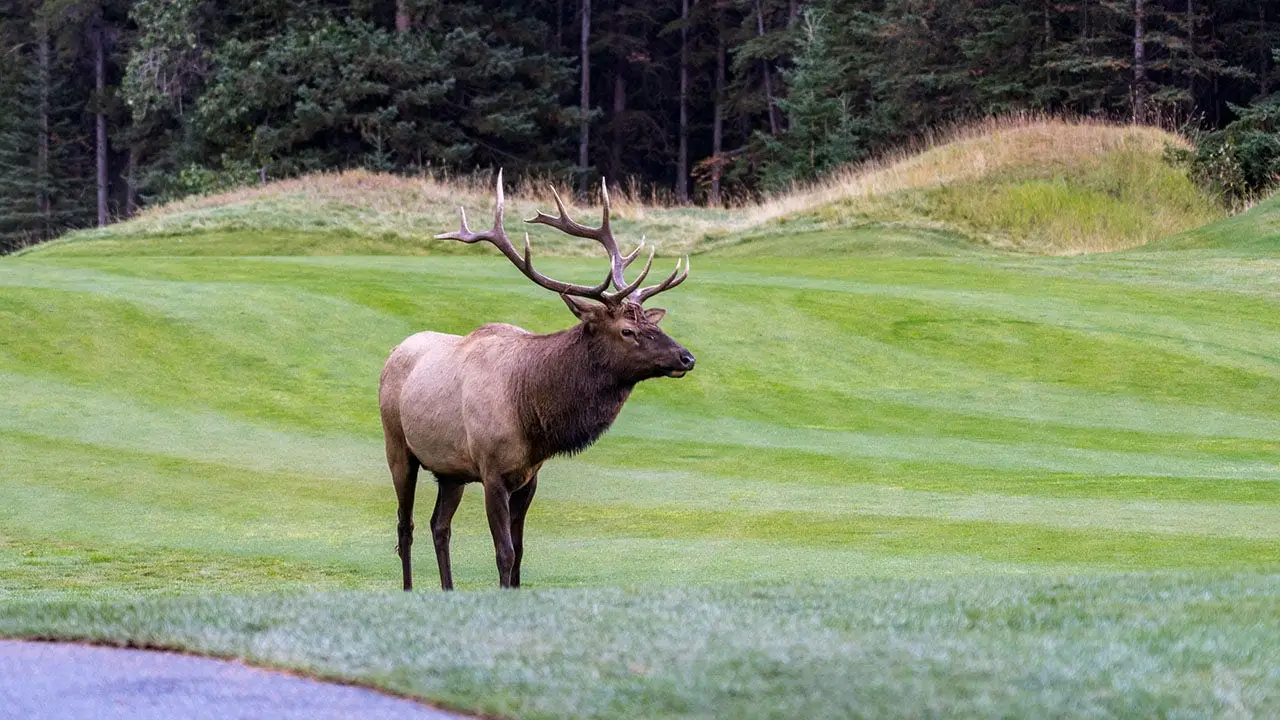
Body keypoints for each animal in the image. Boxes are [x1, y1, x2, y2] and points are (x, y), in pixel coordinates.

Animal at [379, 171, 695, 591]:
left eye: (652, 324)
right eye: (627, 331)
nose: (686, 357)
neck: (531, 414)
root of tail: (393, 352)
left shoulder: (529, 477)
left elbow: (520, 552)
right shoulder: (492, 471)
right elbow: (504, 552)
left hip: (450, 470)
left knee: (439, 526)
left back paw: (448, 589)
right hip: (398, 446)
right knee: (406, 524)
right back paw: (409, 588)